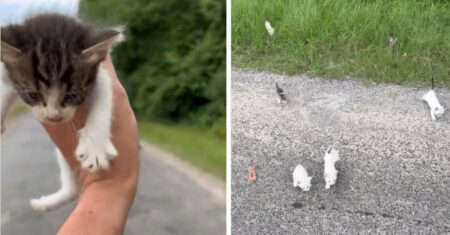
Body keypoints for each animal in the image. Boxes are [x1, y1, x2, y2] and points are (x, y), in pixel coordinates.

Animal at [0, 12, 123, 211]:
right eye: (33, 95)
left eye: (72, 95)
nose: (53, 117)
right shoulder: (9, 76)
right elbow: (4, 89)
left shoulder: (101, 75)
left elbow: (104, 100)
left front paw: (95, 147)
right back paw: (45, 203)